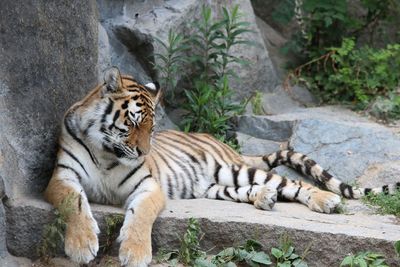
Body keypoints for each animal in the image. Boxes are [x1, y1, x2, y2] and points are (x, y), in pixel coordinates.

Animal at [44, 67, 400, 267]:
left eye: (151, 127)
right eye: (131, 123)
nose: (144, 151)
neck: (107, 153)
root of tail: (226, 145)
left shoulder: (147, 185)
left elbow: (141, 214)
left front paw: (135, 253)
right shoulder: (62, 177)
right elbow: (74, 204)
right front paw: (81, 246)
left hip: (233, 169)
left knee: (294, 184)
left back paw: (325, 200)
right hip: (216, 186)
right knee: (254, 189)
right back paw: (265, 198)